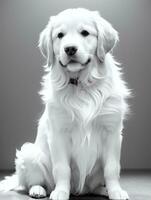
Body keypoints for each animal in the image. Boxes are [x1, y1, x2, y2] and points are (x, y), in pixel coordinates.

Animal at [0, 8, 130, 200]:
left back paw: (102, 190)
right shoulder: (59, 133)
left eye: (85, 33)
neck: (82, 85)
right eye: (60, 35)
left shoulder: (112, 132)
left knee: (93, 186)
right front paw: (61, 192)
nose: (69, 49)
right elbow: (62, 168)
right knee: (34, 182)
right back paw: (38, 190)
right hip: (29, 153)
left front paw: (116, 191)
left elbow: (112, 167)